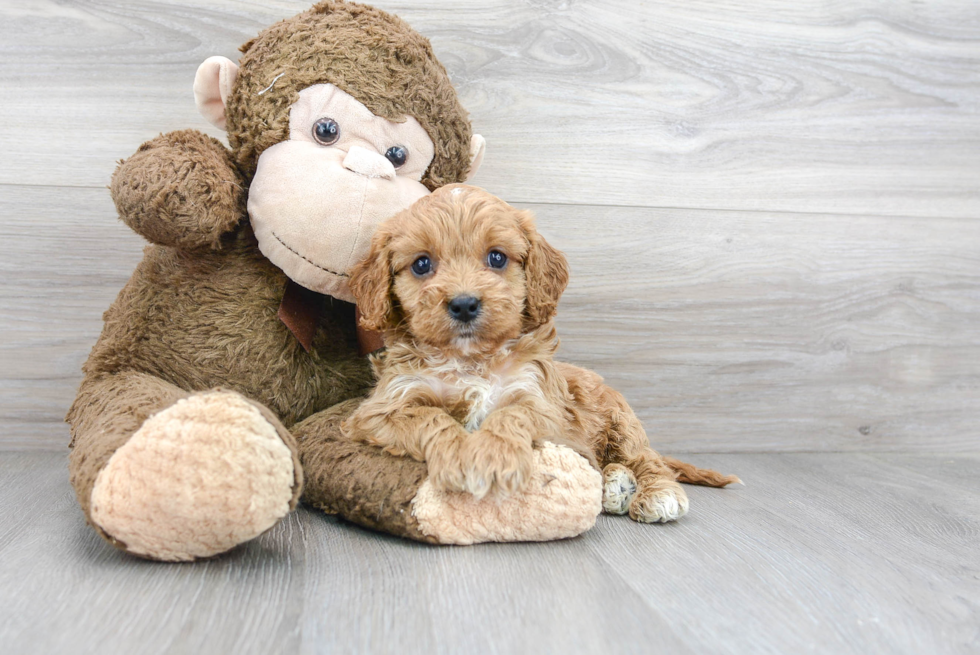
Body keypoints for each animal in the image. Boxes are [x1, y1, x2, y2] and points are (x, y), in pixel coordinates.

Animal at [340, 184, 740, 524]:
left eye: (497, 258)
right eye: (422, 264)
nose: (465, 304)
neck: (471, 360)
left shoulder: (549, 410)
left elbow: (512, 414)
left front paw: (494, 459)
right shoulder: (384, 408)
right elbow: (430, 417)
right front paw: (458, 458)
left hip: (621, 419)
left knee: (647, 458)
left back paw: (656, 493)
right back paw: (615, 486)